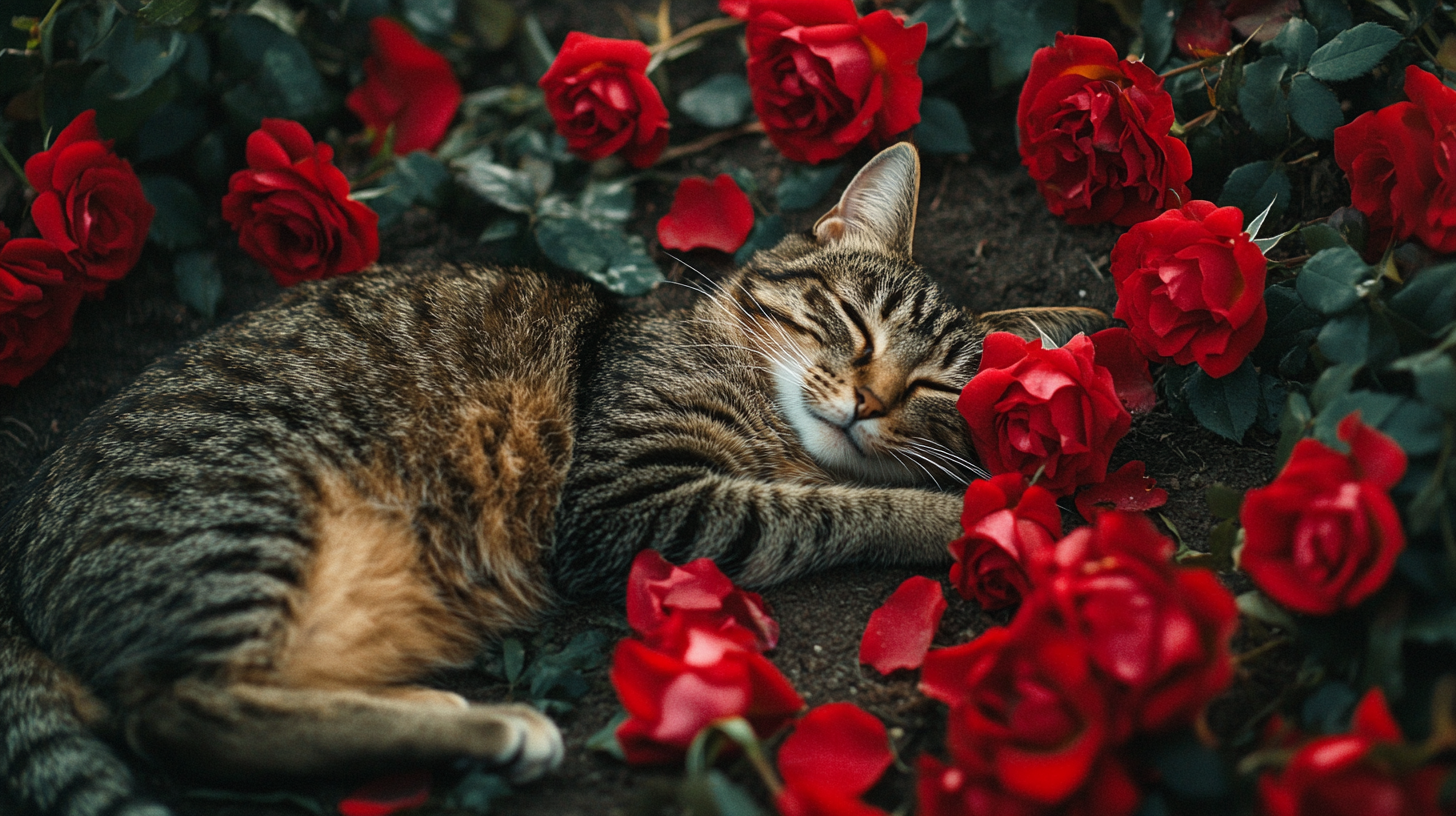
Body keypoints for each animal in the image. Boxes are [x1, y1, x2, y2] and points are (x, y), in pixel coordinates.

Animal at [0, 143, 1100, 810]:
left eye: (935, 385)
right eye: (847, 322)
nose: (869, 403)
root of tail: (17, 564)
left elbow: (829, 496)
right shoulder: (631, 503)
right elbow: (835, 510)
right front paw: (964, 511)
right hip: (245, 508)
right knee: (178, 713)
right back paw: (486, 722)